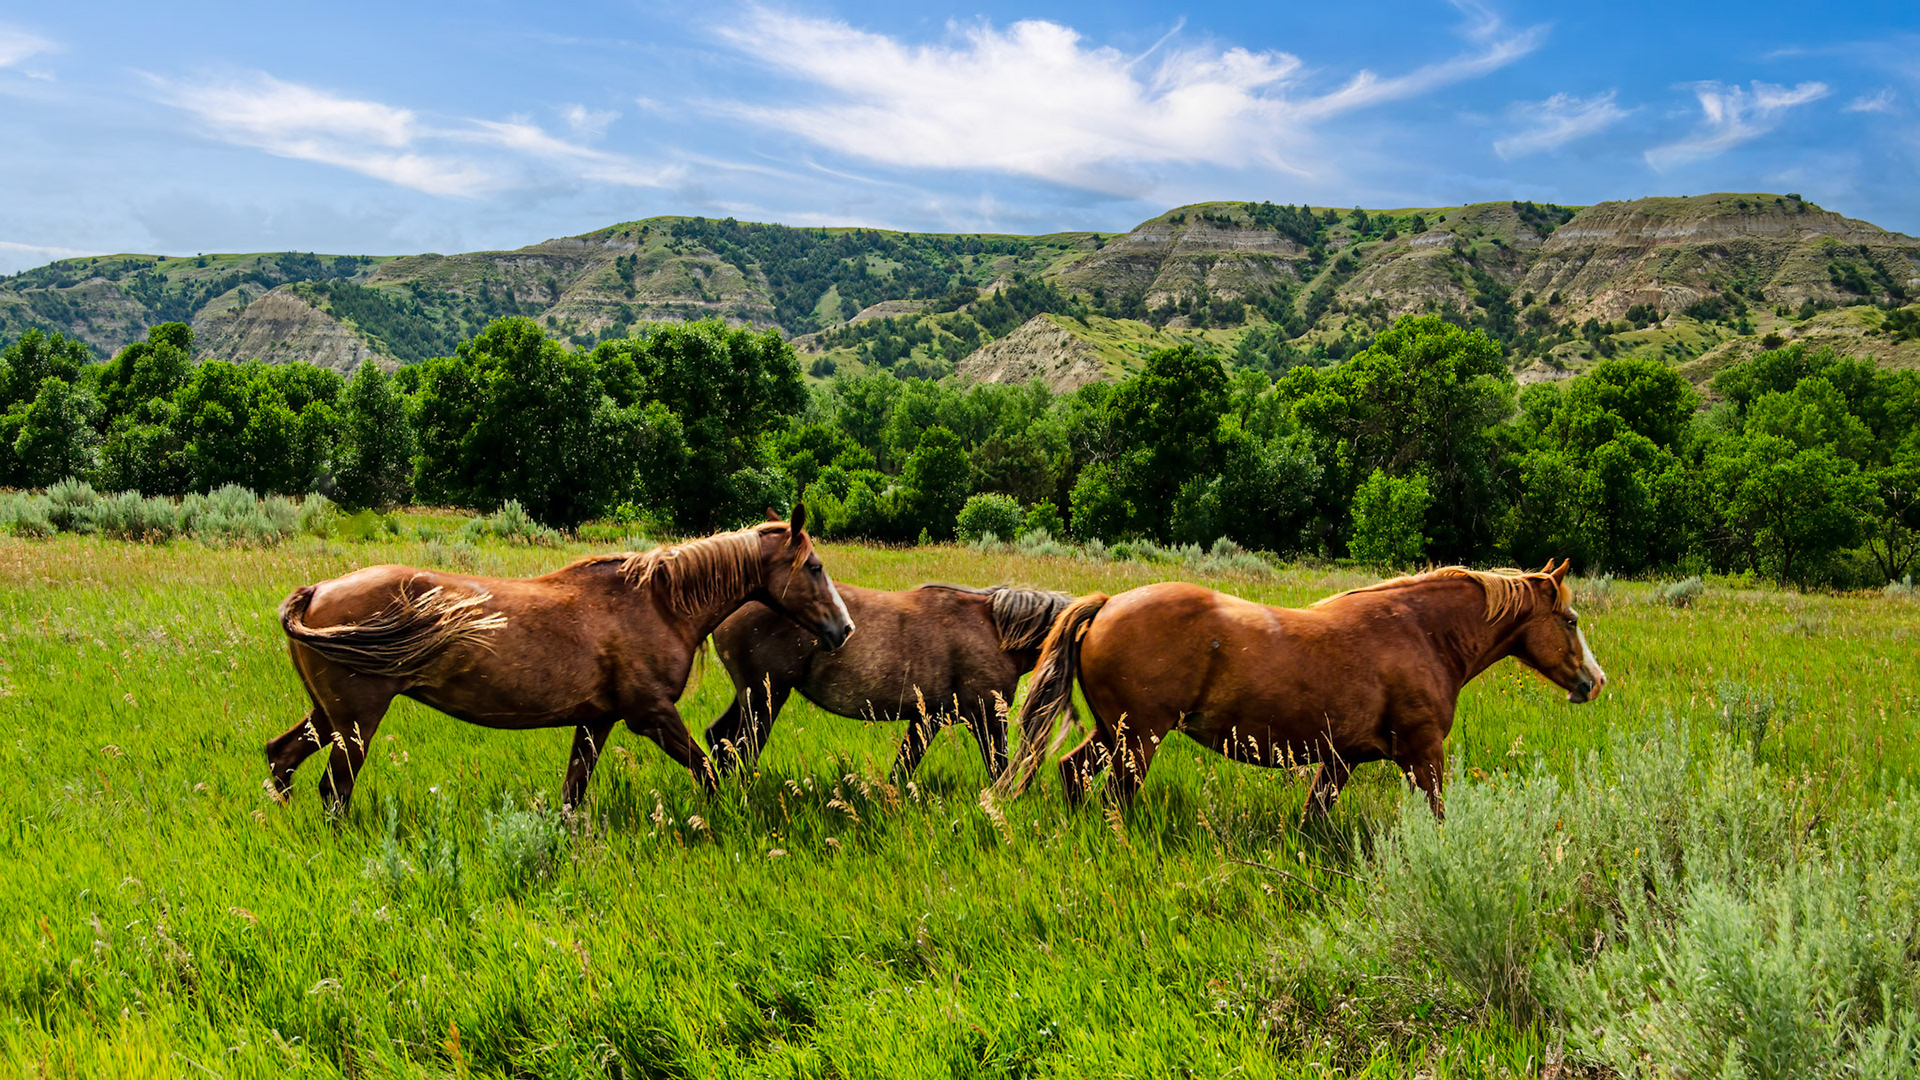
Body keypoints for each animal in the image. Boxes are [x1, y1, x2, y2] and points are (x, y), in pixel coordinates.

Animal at [266, 506, 854, 813]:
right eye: (815, 566)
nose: (843, 629)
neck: (657, 604)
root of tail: (315, 592)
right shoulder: (651, 716)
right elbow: (708, 772)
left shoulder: (597, 721)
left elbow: (573, 792)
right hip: (356, 721)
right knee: (333, 790)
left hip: (328, 716)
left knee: (281, 758)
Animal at [703, 584, 1072, 782]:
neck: (991, 629)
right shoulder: (988, 718)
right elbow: (998, 768)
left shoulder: (928, 718)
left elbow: (903, 767)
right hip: (765, 698)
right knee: (741, 747)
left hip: (752, 696)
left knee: (718, 738)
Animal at [995, 561, 1606, 818]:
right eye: (1571, 620)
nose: (1593, 682)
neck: (1419, 633)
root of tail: (1105, 606)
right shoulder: (1422, 755)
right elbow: (1437, 814)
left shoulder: (1341, 760)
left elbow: (1314, 818)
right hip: (1138, 740)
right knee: (1114, 796)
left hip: (1112, 734)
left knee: (1072, 772)